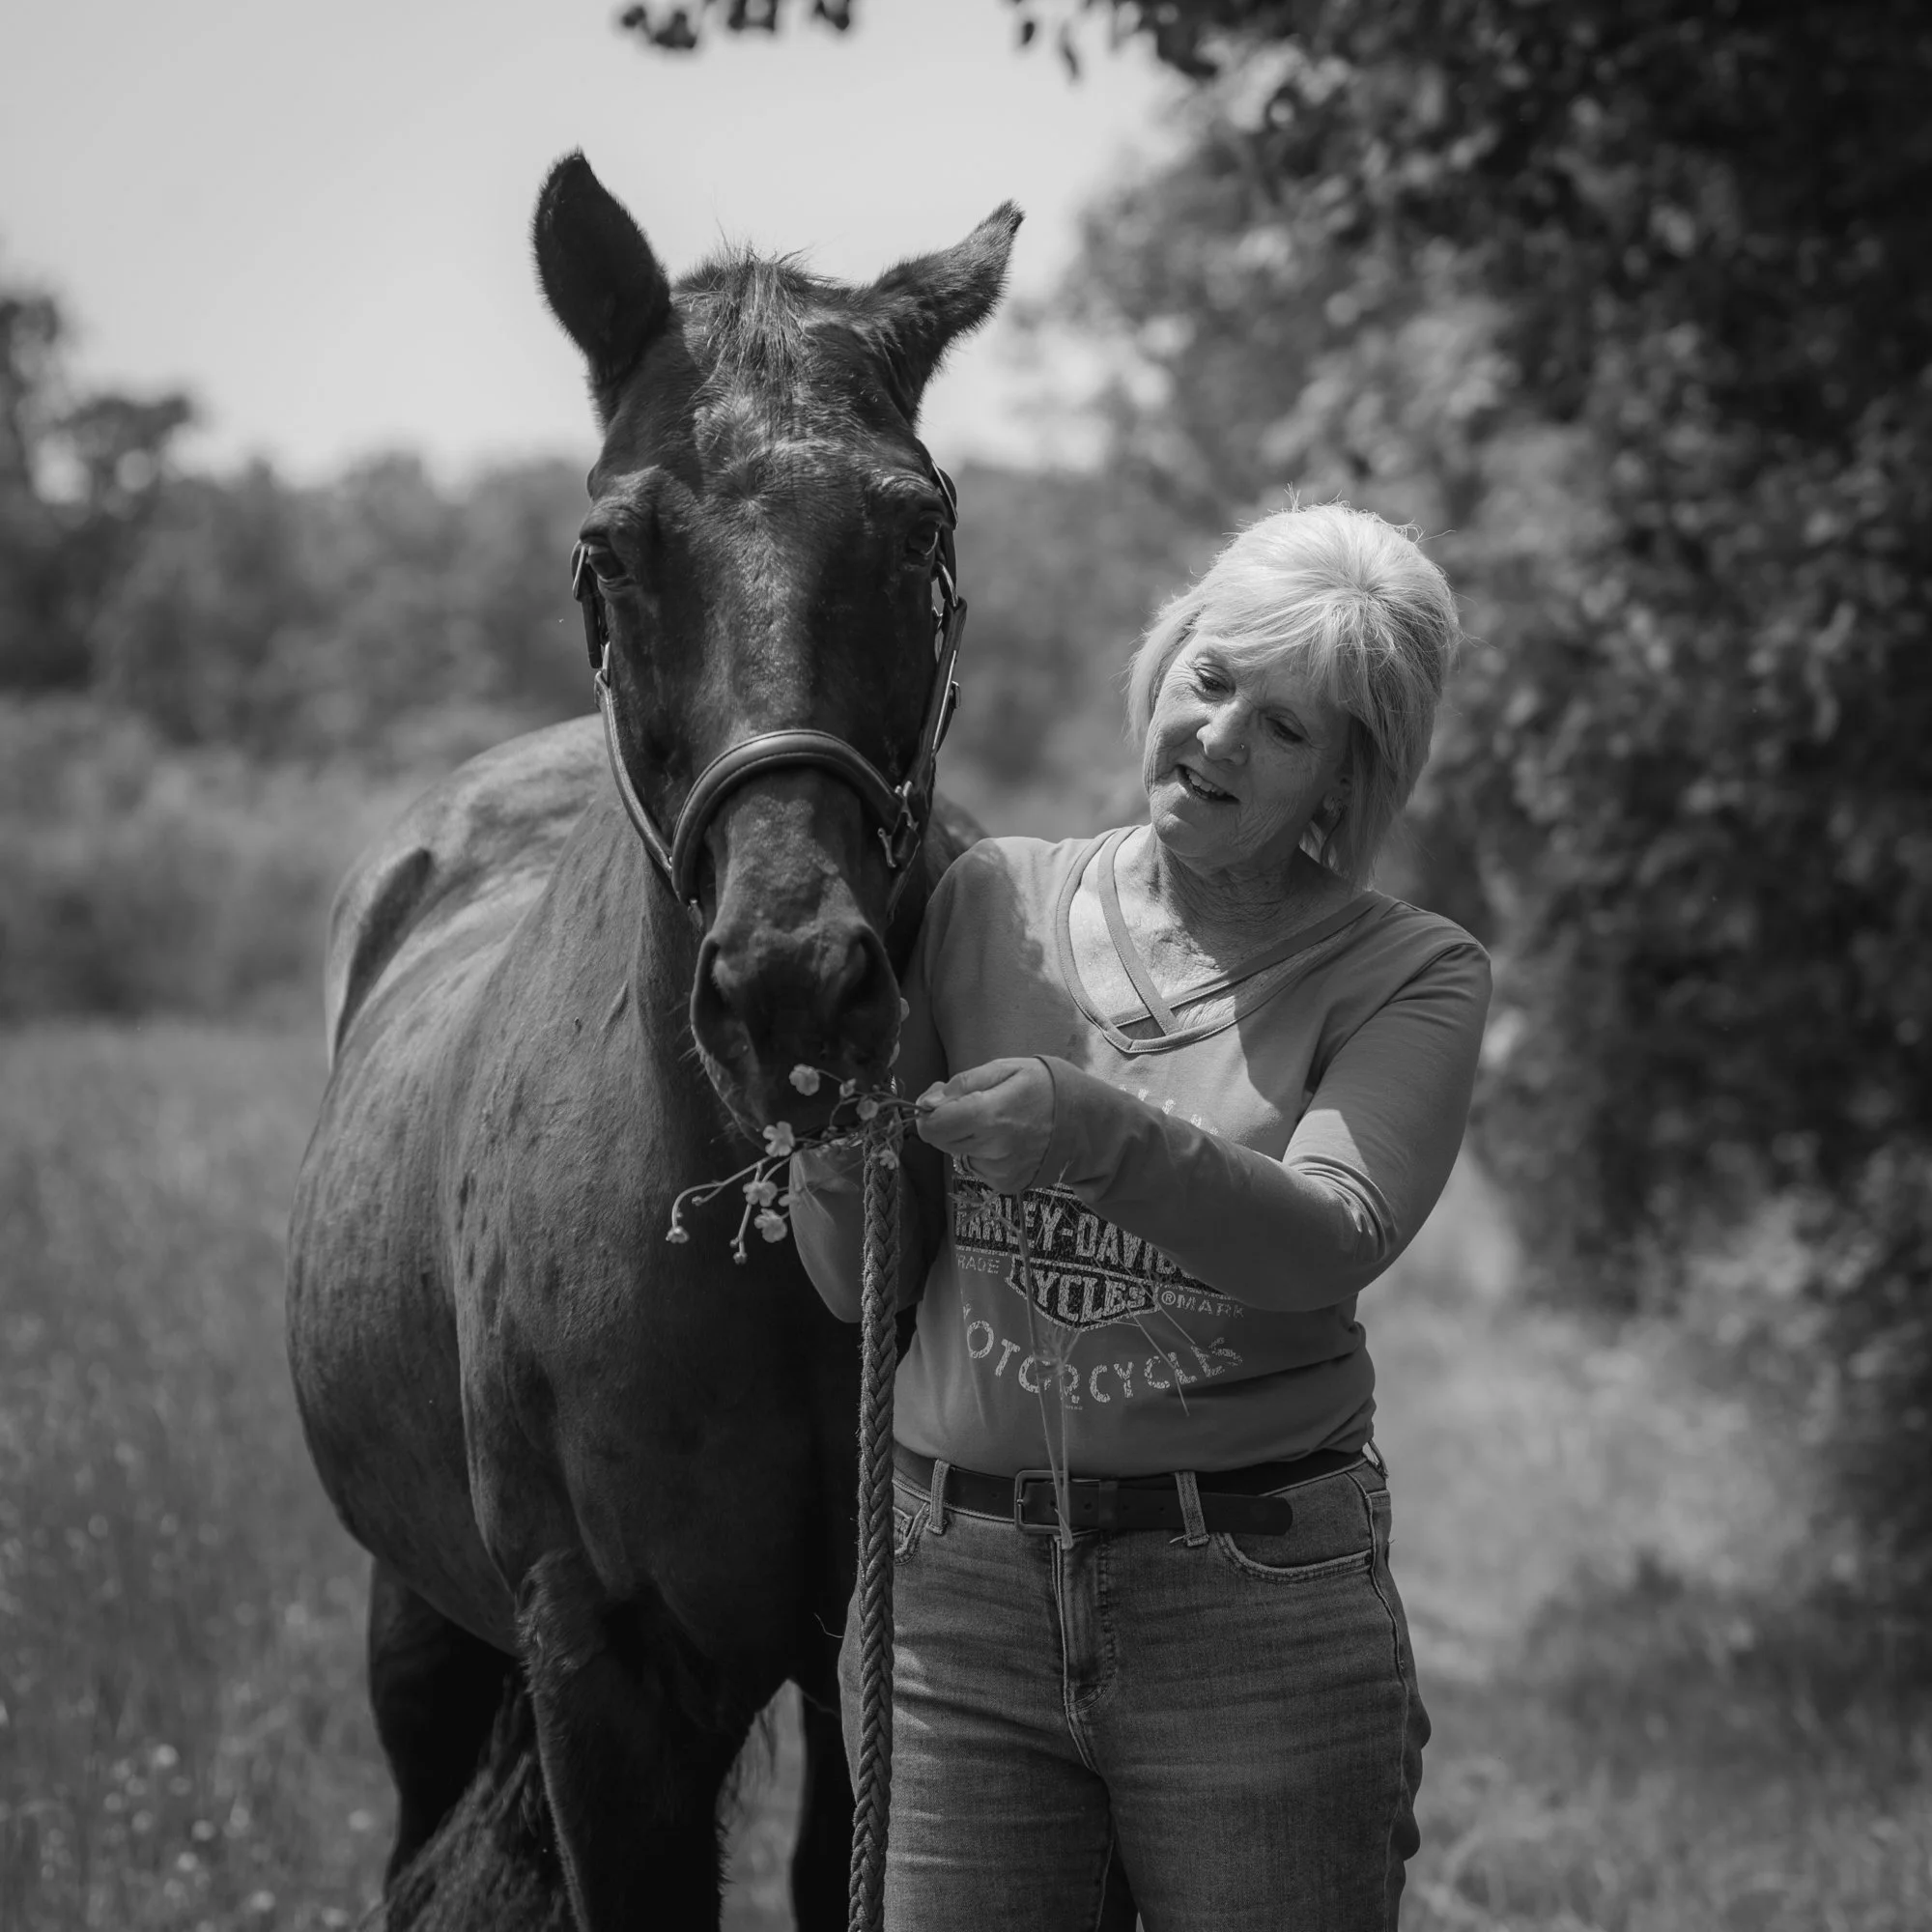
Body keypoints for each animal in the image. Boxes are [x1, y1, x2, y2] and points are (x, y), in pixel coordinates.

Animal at [286, 151, 1020, 1929]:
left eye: (919, 525)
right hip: (420, 1629)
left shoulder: (866, 1666)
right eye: (609, 551)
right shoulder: (600, 1681)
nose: (792, 987)